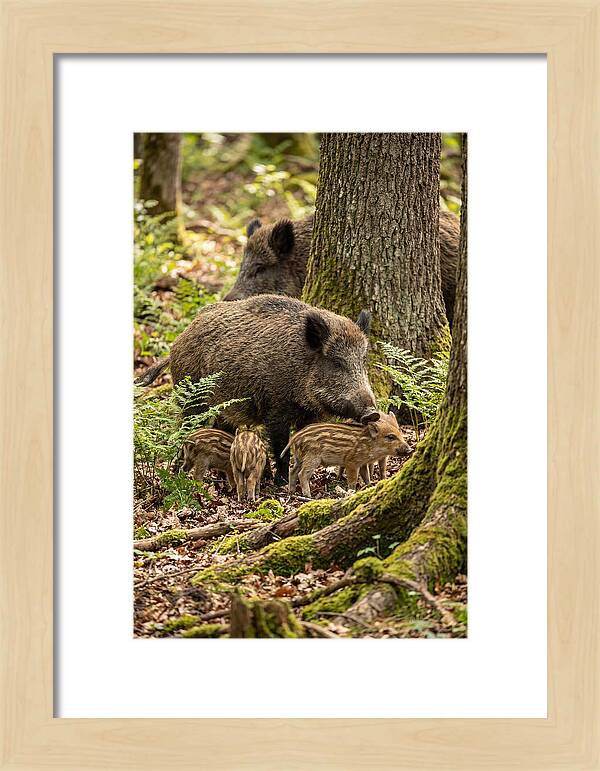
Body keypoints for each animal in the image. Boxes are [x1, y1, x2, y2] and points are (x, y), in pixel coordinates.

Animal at [139, 295, 377, 485]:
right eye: (337, 363)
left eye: (362, 361)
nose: (372, 413)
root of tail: (178, 341)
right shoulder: (275, 409)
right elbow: (281, 446)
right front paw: (281, 482)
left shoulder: (311, 415)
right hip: (192, 399)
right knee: (185, 428)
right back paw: (177, 473)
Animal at [283, 411, 412, 498]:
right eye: (390, 437)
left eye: (400, 432)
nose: (410, 450)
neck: (369, 444)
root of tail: (294, 438)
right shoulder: (351, 462)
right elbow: (353, 479)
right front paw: (352, 491)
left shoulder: (362, 463)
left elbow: (366, 475)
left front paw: (369, 486)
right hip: (312, 458)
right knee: (302, 474)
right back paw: (308, 496)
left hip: (300, 458)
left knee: (292, 471)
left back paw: (291, 491)